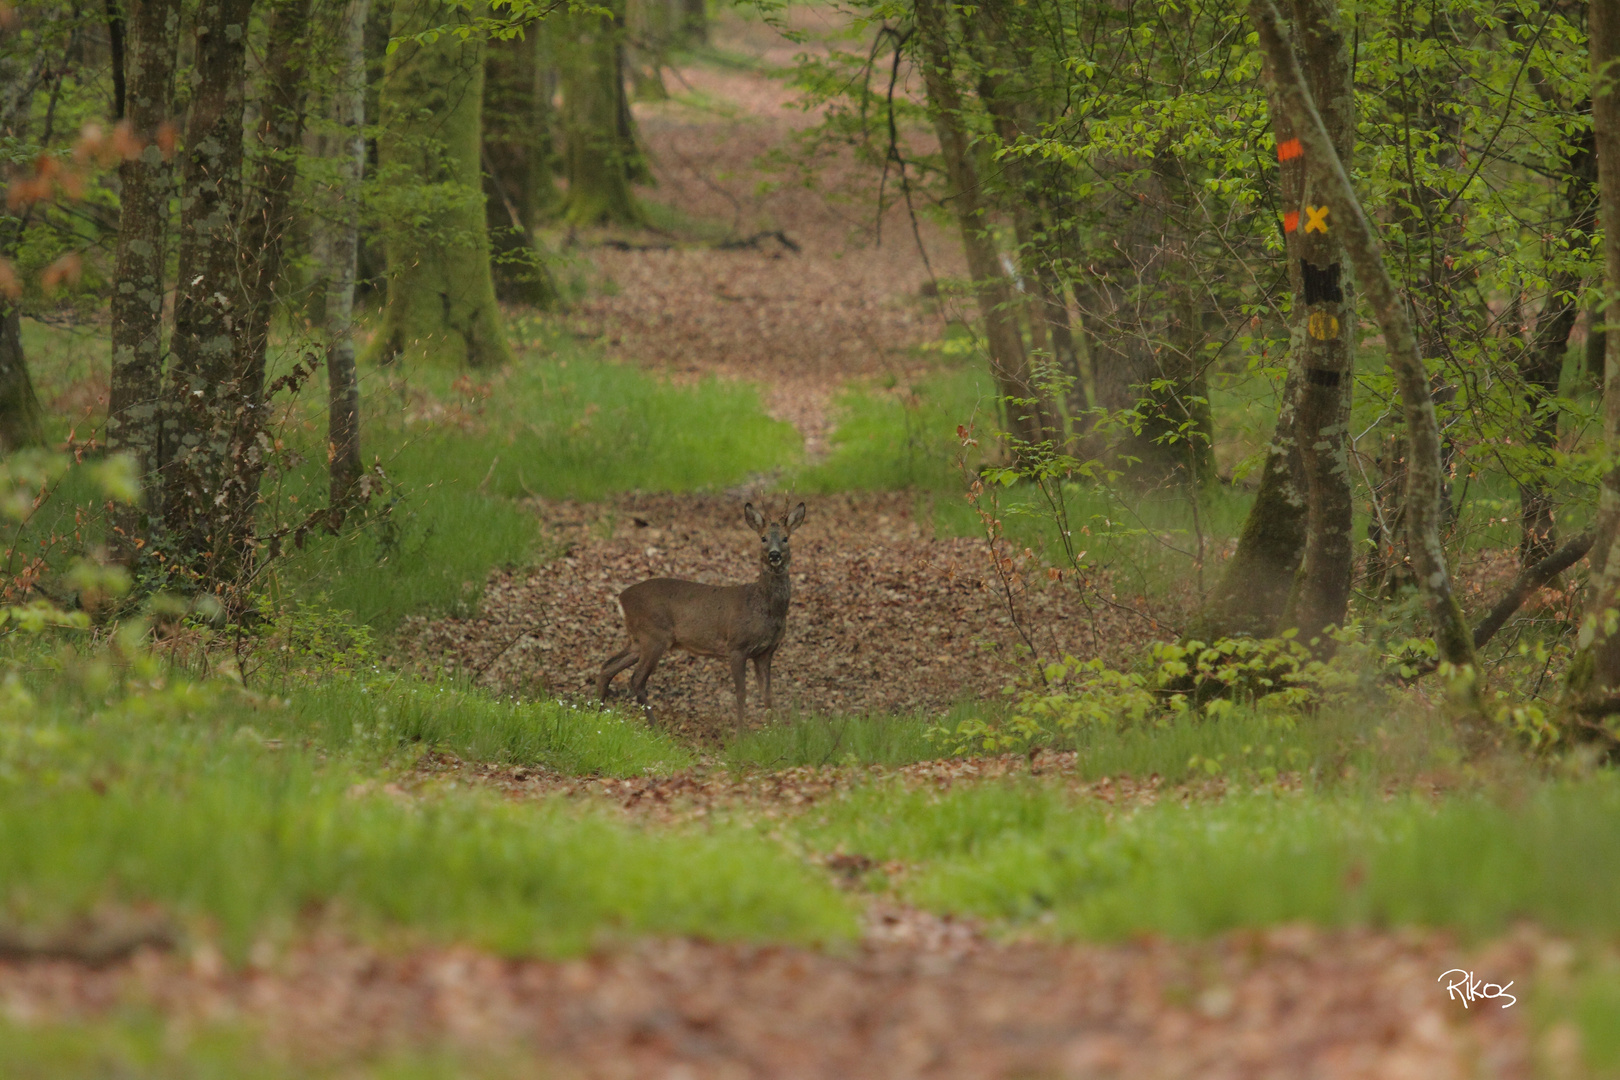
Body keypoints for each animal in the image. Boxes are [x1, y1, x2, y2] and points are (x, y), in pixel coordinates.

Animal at [599, 501, 806, 722]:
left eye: (785, 538)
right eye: (763, 538)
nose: (774, 555)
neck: (764, 608)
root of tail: (621, 598)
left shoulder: (766, 652)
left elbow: (767, 694)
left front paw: (771, 728)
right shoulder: (736, 645)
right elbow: (741, 693)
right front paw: (742, 731)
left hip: (638, 640)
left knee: (608, 666)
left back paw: (596, 710)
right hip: (653, 635)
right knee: (636, 679)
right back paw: (655, 726)